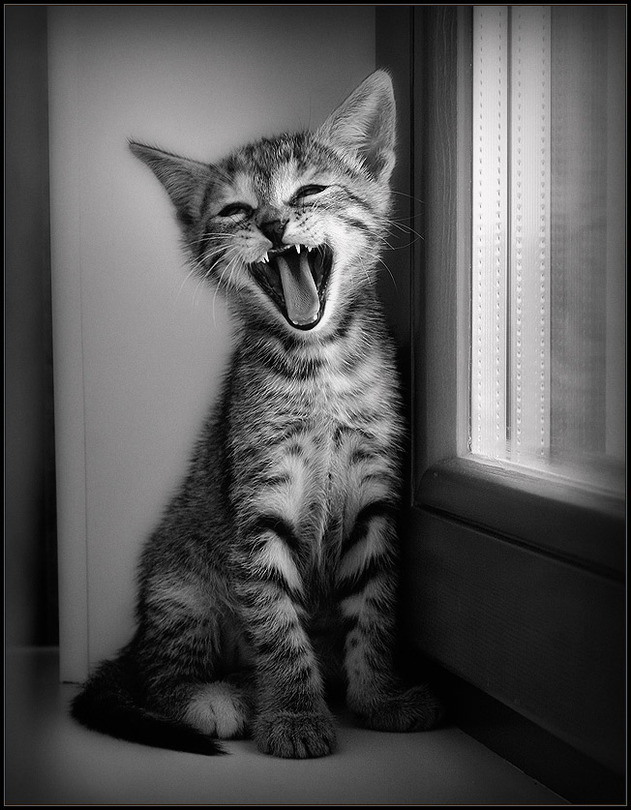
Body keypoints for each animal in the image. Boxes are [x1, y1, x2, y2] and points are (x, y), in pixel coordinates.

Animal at [70, 71, 444, 756]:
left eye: (310, 190)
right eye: (235, 211)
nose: (272, 223)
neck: (320, 365)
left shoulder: (374, 494)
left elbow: (374, 604)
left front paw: (378, 695)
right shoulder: (257, 501)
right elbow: (275, 619)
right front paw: (294, 714)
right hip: (178, 581)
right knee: (158, 669)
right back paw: (213, 697)